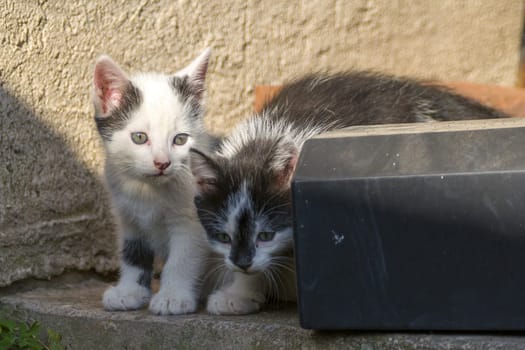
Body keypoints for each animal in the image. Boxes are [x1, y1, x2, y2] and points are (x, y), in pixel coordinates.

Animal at [93, 48, 212, 314]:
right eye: (139, 137)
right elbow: (132, 252)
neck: (147, 189)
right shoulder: (127, 216)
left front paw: (172, 297)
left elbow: (182, 259)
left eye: (180, 140)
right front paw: (129, 291)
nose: (162, 163)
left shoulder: (191, 221)